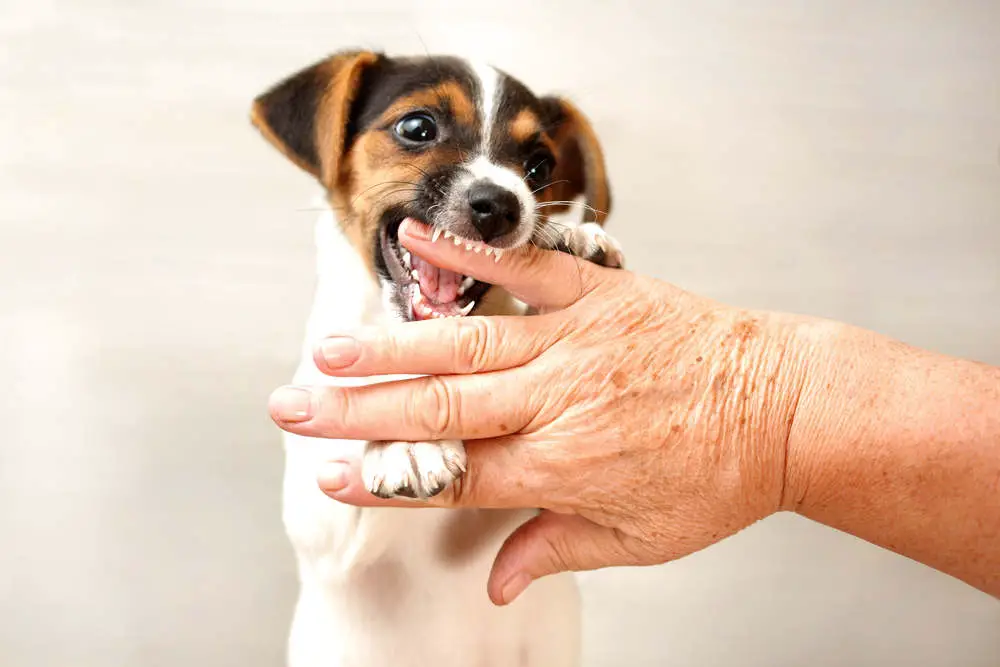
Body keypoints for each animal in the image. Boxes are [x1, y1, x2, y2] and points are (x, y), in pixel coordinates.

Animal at [250, 49, 624, 664]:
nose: (500, 205)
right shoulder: (318, 517)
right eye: (417, 128)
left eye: (539, 166)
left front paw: (576, 241)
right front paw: (406, 443)